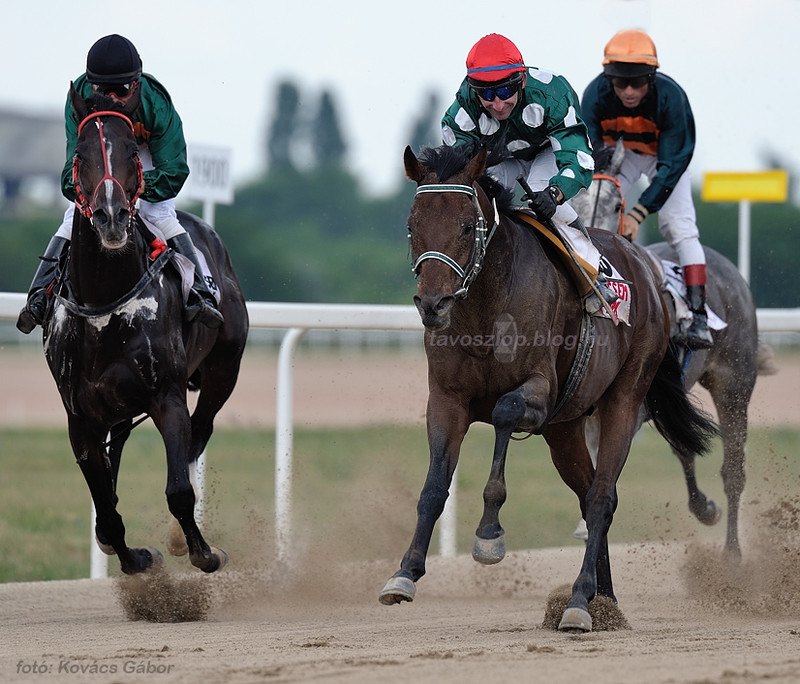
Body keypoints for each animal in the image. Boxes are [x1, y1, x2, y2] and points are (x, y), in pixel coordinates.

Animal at [39, 85, 247, 576]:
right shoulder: (79, 418)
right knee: (117, 451)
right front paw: (132, 556)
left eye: (133, 151)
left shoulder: (166, 395)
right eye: (80, 152)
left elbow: (179, 489)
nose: (112, 217)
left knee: (200, 430)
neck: (104, 304)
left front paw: (202, 551)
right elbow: (106, 508)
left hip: (224, 370)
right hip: (112, 406)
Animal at [378, 144, 716, 632]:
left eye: (466, 225)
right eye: (412, 225)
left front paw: (489, 536)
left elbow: (503, 413)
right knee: (589, 495)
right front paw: (405, 572)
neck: (486, 310)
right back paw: (603, 600)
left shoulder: (539, 393)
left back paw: (578, 602)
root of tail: (649, 274)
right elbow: (434, 486)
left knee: (601, 497)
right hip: (565, 429)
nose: (432, 304)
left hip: (623, 399)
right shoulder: (446, 399)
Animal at [572, 142, 780, 560]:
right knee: (685, 447)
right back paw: (705, 509)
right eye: (574, 201)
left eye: (616, 205)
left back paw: (732, 551)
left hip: (734, 384)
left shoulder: (631, 403)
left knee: (733, 468)